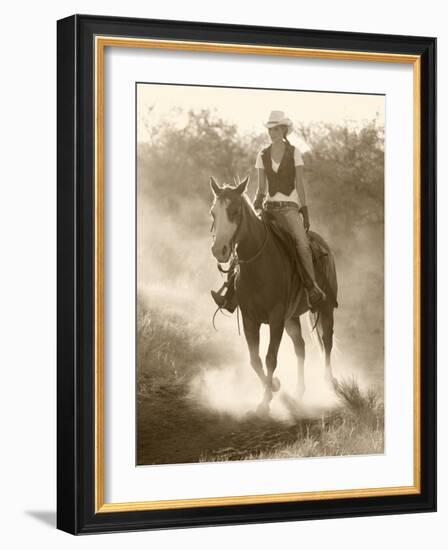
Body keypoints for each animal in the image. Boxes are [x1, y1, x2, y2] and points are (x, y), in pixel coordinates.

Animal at [210, 177, 340, 414]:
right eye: (213, 212)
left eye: (234, 211)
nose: (219, 250)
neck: (259, 264)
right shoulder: (250, 318)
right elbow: (255, 360)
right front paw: (274, 387)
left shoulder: (276, 318)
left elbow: (271, 358)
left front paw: (264, 401)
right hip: (292, 318)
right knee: (300, 347)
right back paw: (299, 391)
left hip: (325, 309)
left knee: (326, 341)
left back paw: (329, 382)